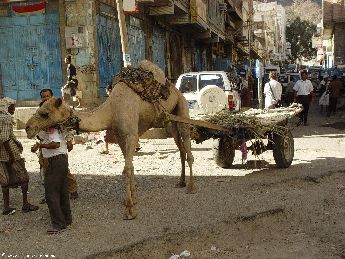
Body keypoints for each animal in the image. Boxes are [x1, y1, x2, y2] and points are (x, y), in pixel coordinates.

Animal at [25, 60, 195, 219]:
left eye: (45, 114)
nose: (28, 127)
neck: (111, 110)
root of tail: (174, 88)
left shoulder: (131, 135)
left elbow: (127, 169)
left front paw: (129, 210)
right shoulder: (120, 136)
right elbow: (130, 166)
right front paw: (133, 199)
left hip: (182, 106)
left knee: (187, 142)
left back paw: (191, 187)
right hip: (170, 120)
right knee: (180, 147)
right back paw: (181, 182)